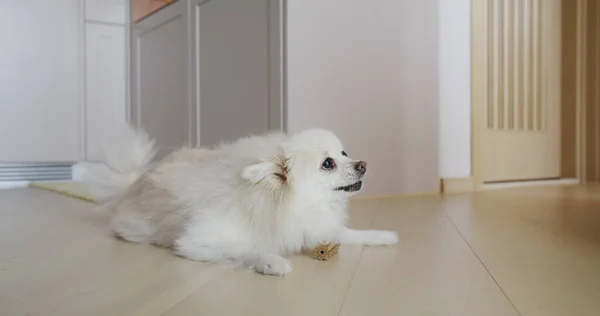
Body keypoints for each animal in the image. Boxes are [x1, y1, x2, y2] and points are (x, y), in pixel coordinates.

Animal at [83, 127, 394, 276]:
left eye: (345, 153)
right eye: (328, 163)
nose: (363, 164)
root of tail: (136, 179)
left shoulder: (315, 227)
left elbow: (350, 234)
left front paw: (382, 235)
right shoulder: (196, 240)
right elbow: (245, 249)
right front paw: (271, 261)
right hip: (137, 229)